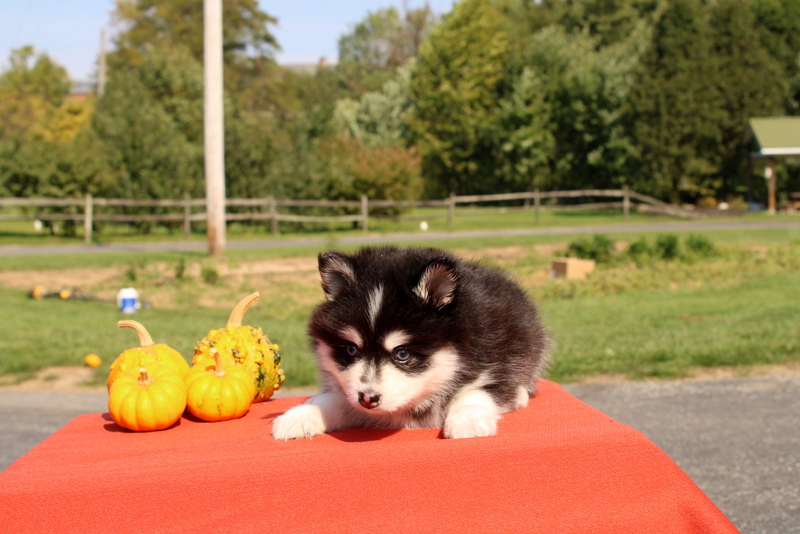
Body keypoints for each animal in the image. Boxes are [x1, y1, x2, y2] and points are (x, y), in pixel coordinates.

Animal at [270, 245, 552, 442]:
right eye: (351, 350)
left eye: (402, 353)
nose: (368, 399)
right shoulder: (350, 392)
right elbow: (334, 399)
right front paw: (300, 416)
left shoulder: (498, 363)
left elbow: (477, 392)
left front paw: (467, 421)